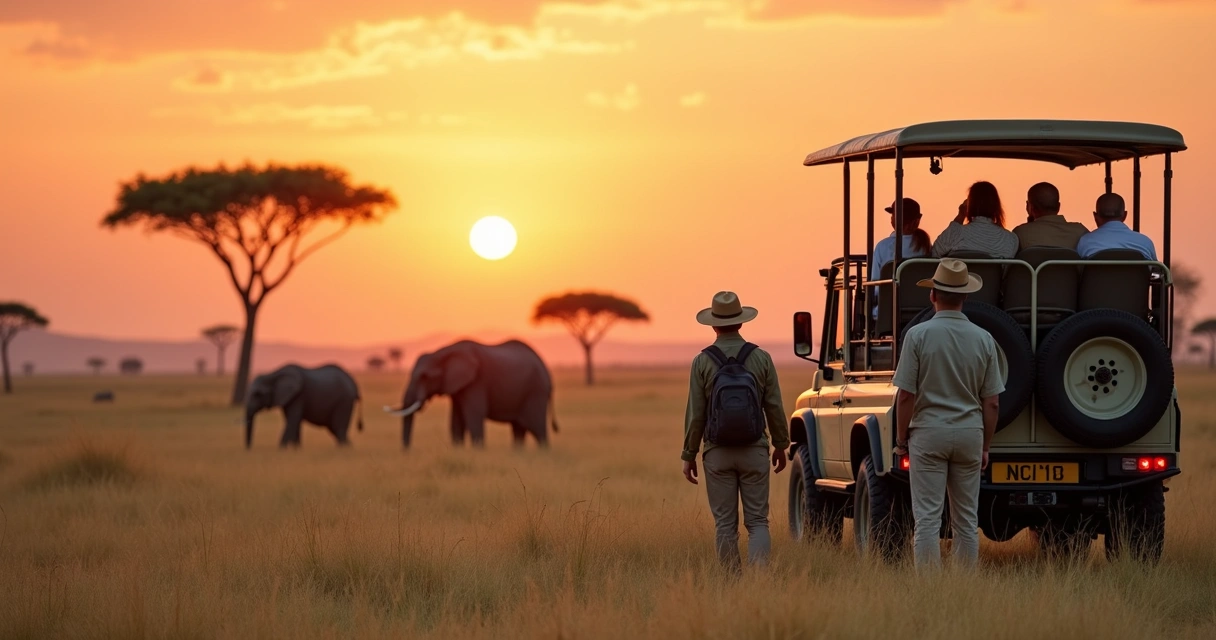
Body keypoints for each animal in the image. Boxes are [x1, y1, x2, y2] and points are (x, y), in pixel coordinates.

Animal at [384, 339, 558, 448]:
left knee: (538, 429)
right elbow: (456, 421)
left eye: (425, 377)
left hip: (536, 391)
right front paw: (458, 451)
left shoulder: (477, 382)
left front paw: (478, 452)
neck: (444, 351)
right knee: (519, 429)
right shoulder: (457, 387)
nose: (407, 451)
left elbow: (473, 415)